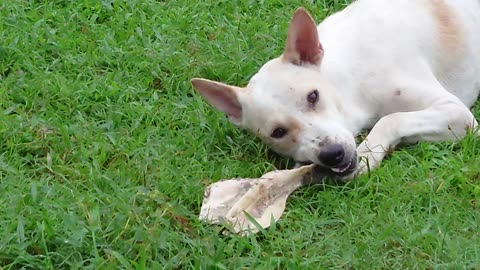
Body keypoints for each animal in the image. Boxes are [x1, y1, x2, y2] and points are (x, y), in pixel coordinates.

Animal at [191, 0, 480, 180]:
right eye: (278, 132)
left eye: (313, 96)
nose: (332, 154)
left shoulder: (457, 114)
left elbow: (391, 119)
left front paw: (368, 152)